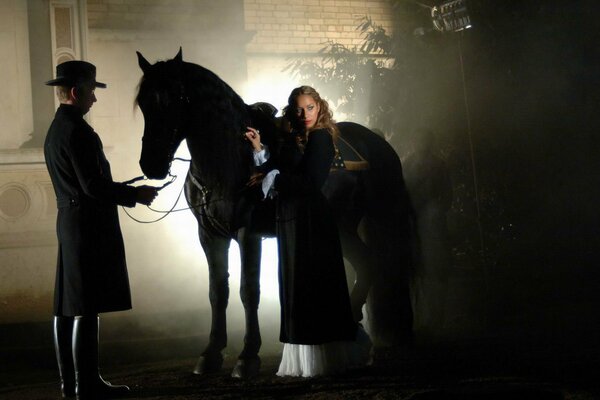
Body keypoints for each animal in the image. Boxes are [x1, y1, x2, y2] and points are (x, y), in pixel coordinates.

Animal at [137, 49, 418, 378]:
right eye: (143, 102)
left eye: (179, 97)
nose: (151, 164)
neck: (227, 162)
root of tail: (377, 140)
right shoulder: (209, 235)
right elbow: (218, 292)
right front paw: (210, 354)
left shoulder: (248, 233)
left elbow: (248, 291)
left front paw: (247, 357)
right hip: (342, 226)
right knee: (367, 263)